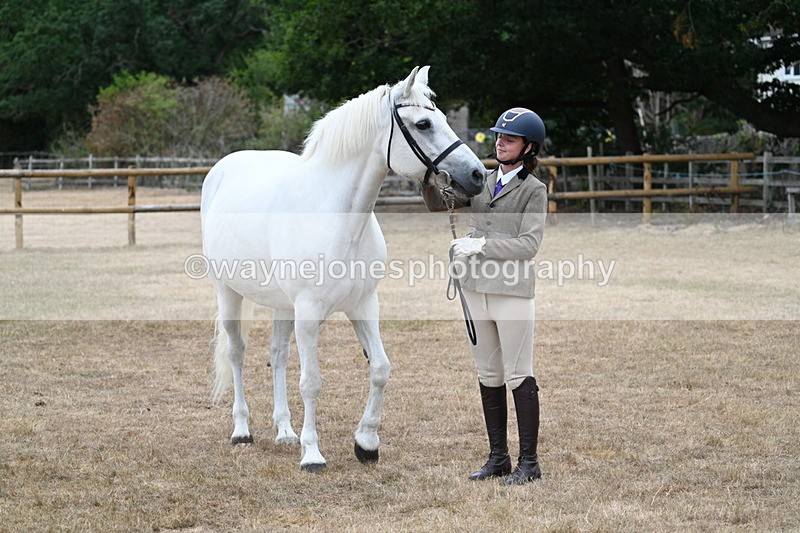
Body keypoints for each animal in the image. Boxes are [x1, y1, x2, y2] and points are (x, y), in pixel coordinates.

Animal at [200, 66, 486, 471]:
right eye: (424, 123)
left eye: (445, 118)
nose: (477, 175)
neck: (339, 218)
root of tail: (223, 167)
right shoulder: (308, 313)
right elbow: (312, 381)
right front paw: (312, 453)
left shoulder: (363, 305)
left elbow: (380, 368)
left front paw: (366, 442)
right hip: (228, 293)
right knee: (237, 352)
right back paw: (242, 430)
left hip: (282, 305)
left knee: (277, 355)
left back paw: (284, 431)